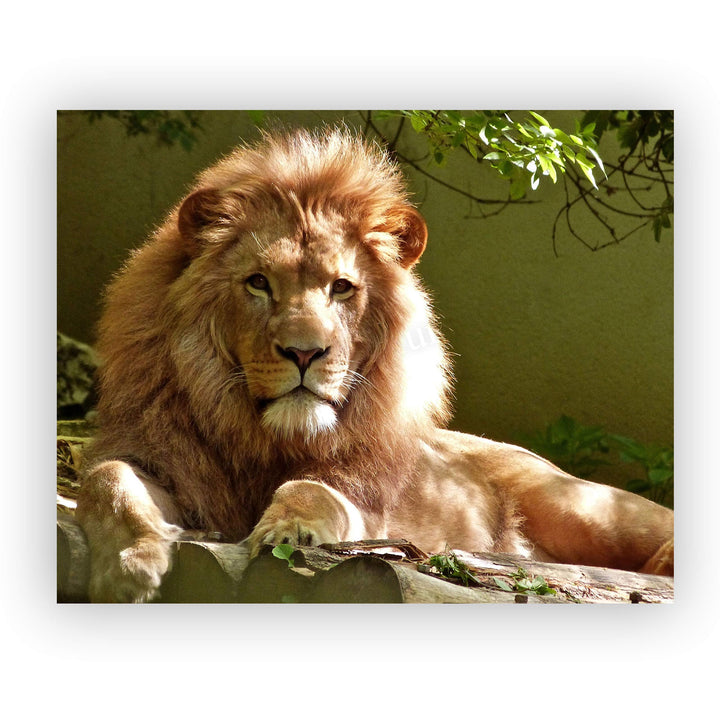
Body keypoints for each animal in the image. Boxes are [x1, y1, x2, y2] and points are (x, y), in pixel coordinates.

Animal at [75, 126, 674, 602]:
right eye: (259, 283)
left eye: (342, 288)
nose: (304, 352)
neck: (263, 437)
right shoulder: (162, 459)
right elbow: (107, 479)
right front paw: (131, 566)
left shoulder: (368, 510)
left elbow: (311, 490)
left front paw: (289, 532)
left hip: (583, 507)